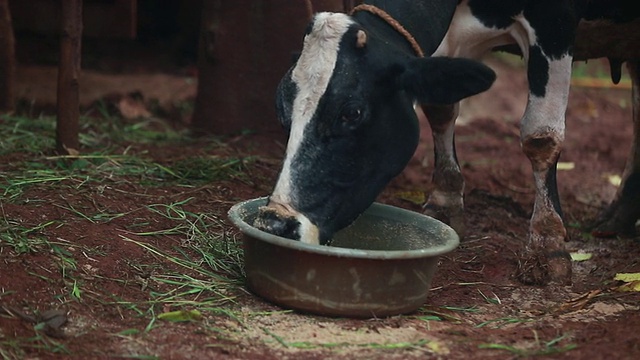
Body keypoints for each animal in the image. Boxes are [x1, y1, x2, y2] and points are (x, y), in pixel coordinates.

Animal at [255, 0, 640, 286]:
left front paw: (547, 244)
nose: (275, 223)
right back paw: (617, 218)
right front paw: (446, 201)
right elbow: (439, 107)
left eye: (351, 112)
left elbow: (540, 134)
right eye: (282, 107)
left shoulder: (554, 21)